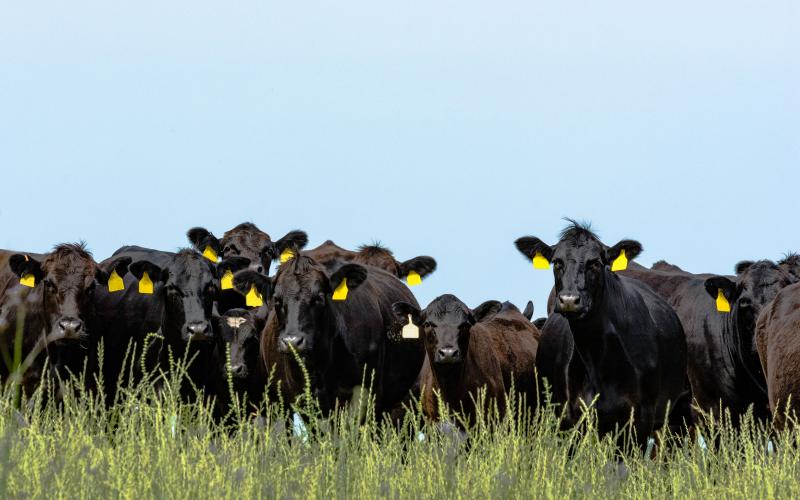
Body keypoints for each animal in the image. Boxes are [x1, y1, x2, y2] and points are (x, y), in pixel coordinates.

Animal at [515, 221, 691, 445]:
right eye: (556, 262)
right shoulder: (571, 419)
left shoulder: (640, 421)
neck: (598, 358)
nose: (569, 300)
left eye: (595, 263)